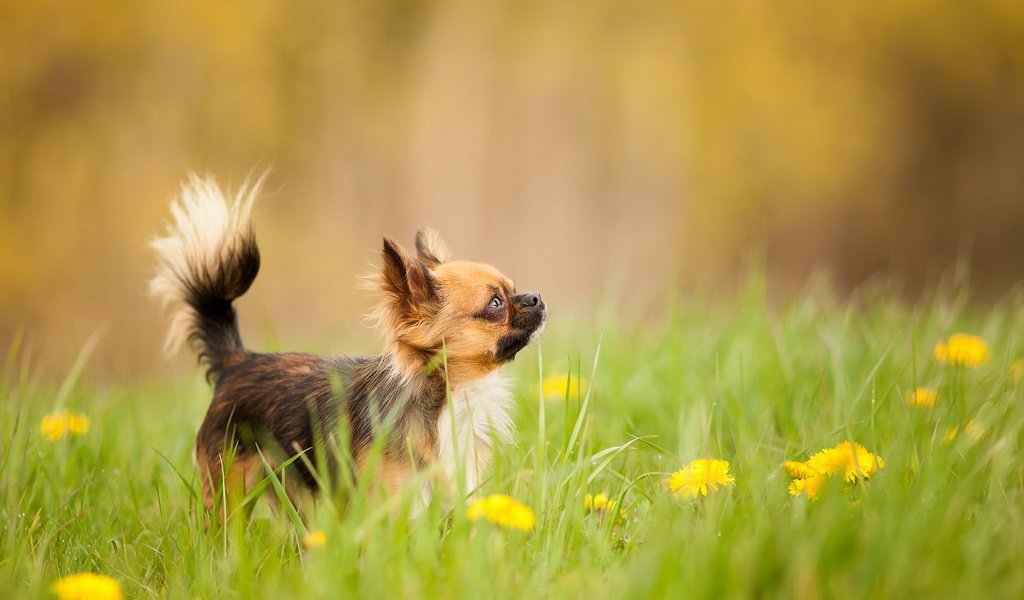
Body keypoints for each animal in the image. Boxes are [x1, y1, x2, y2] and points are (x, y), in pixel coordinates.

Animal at [149, 174, 544, 518]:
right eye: (496, 303)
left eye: (514, 288)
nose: (537, 297)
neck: (451, 395)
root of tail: (239, 361)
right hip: (230, 492)